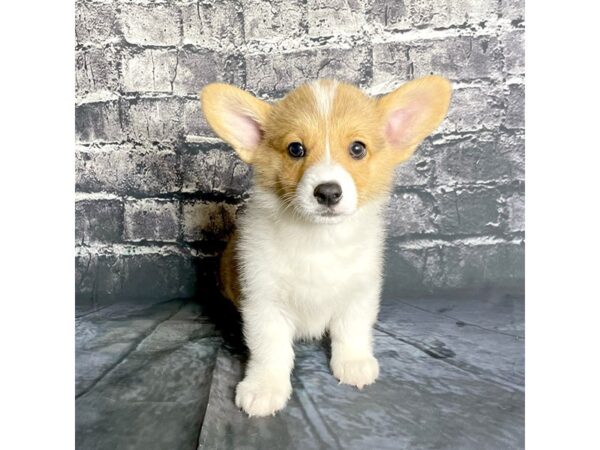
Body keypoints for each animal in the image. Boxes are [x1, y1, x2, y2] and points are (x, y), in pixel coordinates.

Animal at [202, 75, 450, 416]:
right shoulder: (263, 301)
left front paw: (354, 364)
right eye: (295, 149)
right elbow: (270, 349)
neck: (319, 239)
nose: (328, 193)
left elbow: (352, 330)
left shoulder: (359, 292)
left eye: (357, 148)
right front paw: (264, 387)